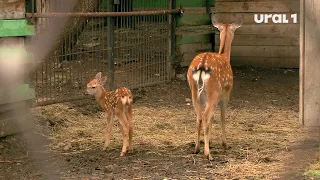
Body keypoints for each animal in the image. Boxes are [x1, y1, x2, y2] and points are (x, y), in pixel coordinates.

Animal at [185, 14, 242, 160]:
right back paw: (208, 154)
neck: (224, 55)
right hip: (214, 91)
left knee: (199, 116)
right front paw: (225, 144)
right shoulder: (226, 93)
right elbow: (222, 116)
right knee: (205, 115)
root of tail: (201, 67)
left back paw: (197, 148)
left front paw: (209, 141)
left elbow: (212, 118)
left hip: (194, 90)